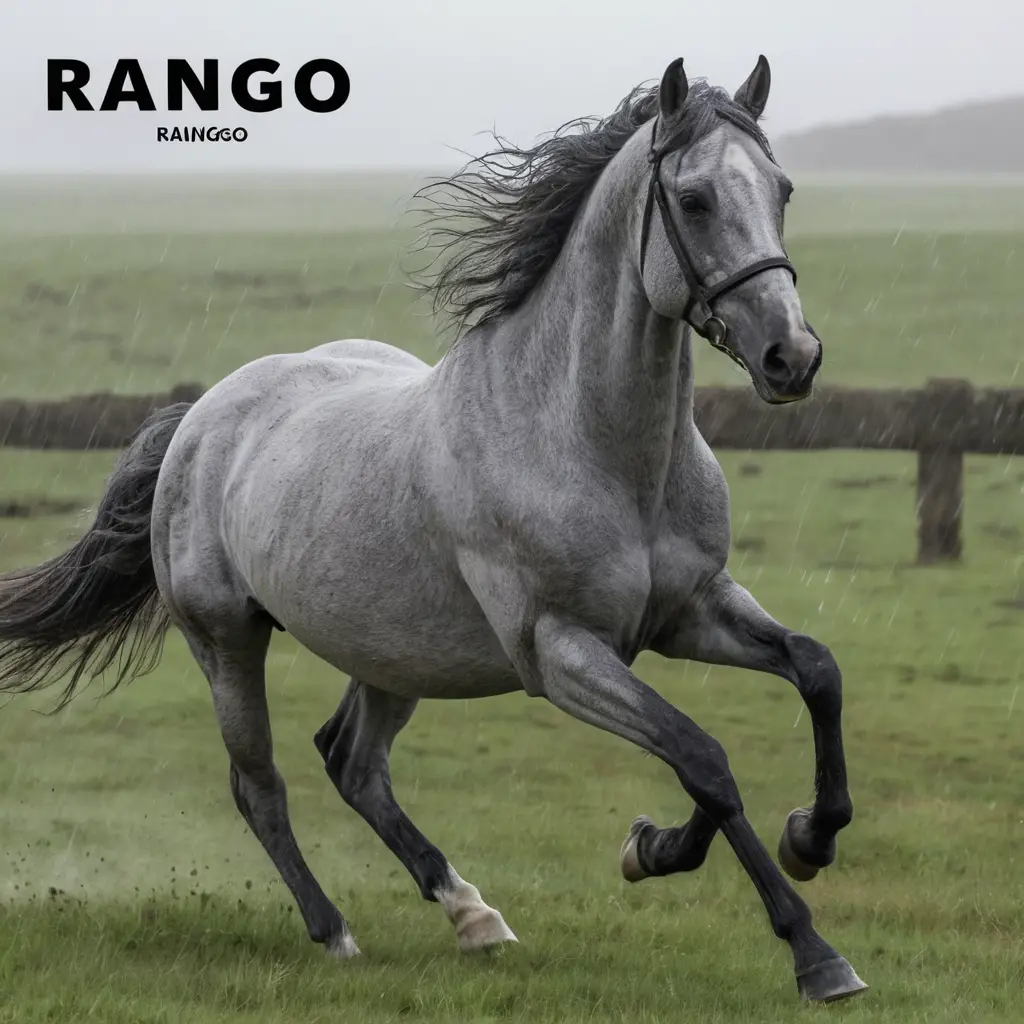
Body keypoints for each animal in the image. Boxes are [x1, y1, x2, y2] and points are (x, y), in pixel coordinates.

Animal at [0, 56, 867, 1003]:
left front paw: (787, 837)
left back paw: (473, 915)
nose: (792, 357)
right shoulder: (560, 653)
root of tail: (199, 417)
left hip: (394, 653)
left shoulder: (691, 611)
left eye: (783, 189)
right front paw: (812, 950)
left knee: (352, 763)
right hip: (226, 642)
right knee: (260, 786)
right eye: (696, 198)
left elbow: (813, 673)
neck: (592, 444)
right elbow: (701, 756)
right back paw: (336, 933)